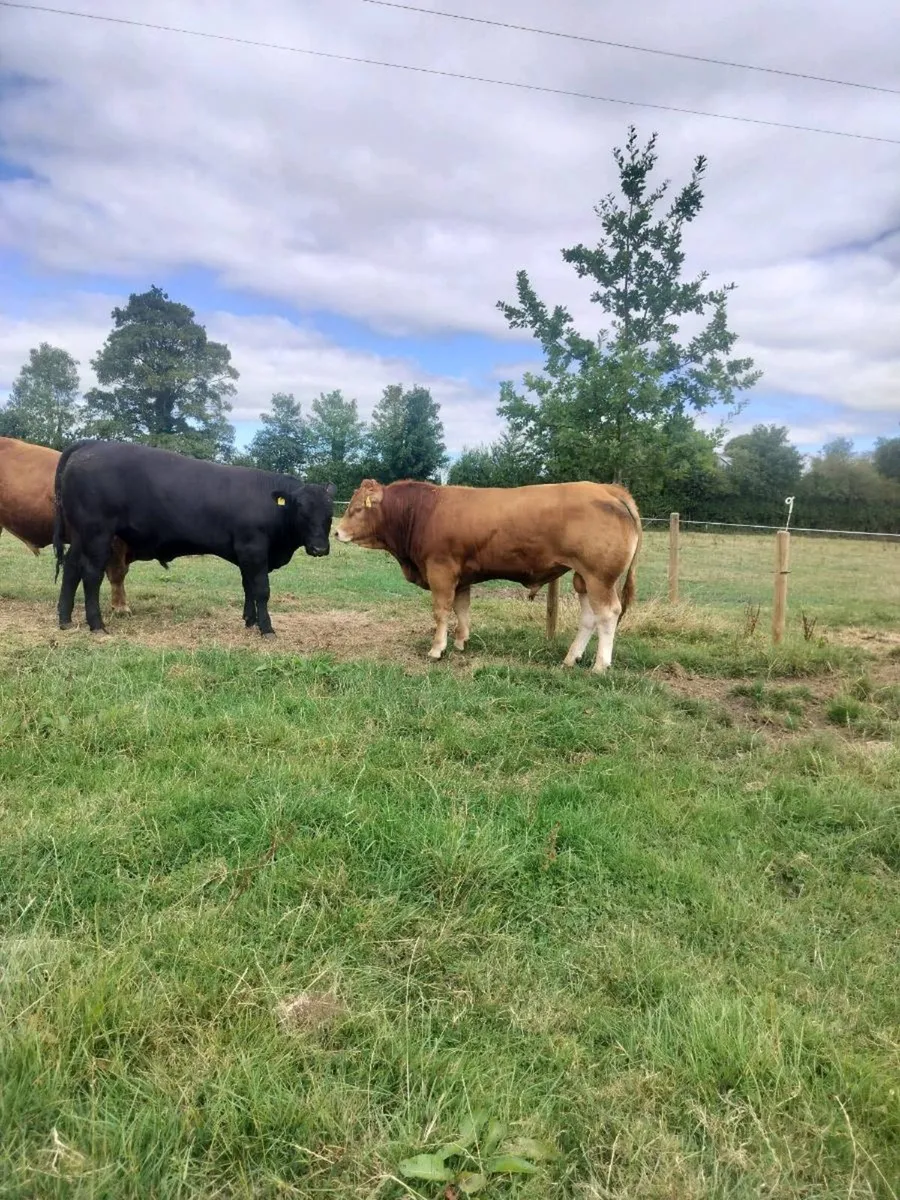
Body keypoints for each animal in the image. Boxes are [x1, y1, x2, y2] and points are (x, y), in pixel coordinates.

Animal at [52, 439, 334, 636]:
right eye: (300, 509)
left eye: (330, 512)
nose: (319, 548)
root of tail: (91, 443)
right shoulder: (253, 549)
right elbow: (262, 590)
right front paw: (267, 629)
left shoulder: (246, 554)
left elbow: (249, 588)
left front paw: (250, 621)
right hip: (98, 533)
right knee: (91, 574)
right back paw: (97, 625)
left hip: (80, 535)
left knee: (71, 568)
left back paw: (65, 620)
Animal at [334, 478, 642, 672]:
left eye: (357, 508)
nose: (336, 532)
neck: (422, 511)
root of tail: (606, 488)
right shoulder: (462, 576)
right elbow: (462, 609)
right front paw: (461, 642)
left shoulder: (440, 570)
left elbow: (441, 611)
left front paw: (437, 649)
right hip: (584, 578)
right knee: (589, 616)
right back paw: (571, 658)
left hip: (599, 576)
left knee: (608, 614)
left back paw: (600, 665)